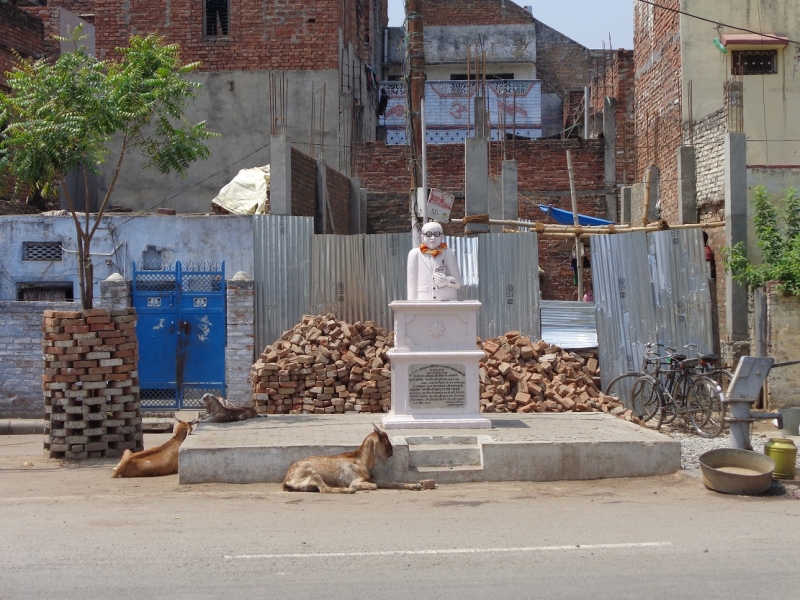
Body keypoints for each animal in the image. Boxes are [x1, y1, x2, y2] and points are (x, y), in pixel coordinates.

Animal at [282, 422, 424, 492]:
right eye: (384, 439)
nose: (391, 452)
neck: (360, 460)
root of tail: (287, 479)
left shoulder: (372, 479)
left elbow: (392, 482)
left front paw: (416, 485)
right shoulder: (357, 480)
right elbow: (374, 486)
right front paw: (354, 487)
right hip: (313, 473)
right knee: (324, 489)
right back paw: (349, 490)